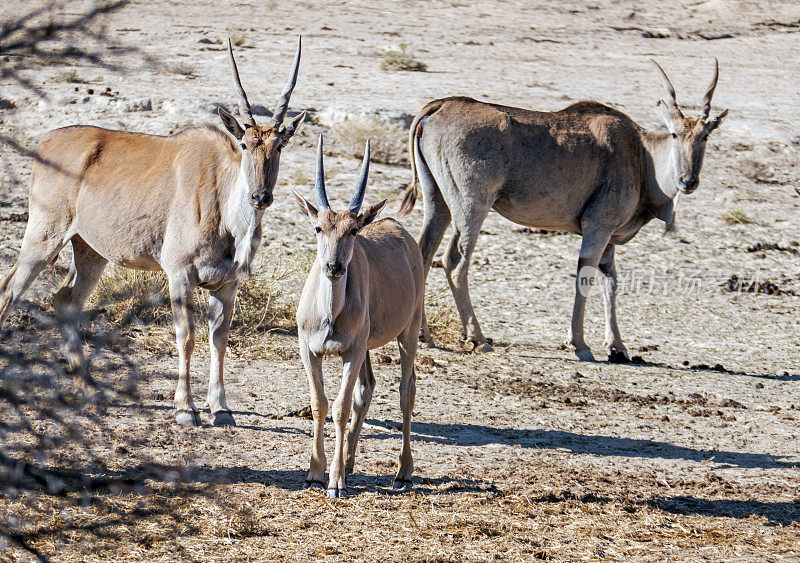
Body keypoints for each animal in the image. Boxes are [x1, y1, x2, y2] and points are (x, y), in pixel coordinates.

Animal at [0, 38, 306, 428]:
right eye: (245, 144)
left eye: (279, 145)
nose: (261, 197)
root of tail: (46, 141)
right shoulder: (180, 274)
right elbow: (186, 336)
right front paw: (185, 409)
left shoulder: (226, 284)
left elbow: (219, 340)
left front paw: (220, 409)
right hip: (43, 239)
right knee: (10, 291)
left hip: (90, 252)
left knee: (66, 300)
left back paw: (88, 387)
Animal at [294, 135, 424, 498]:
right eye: (319, 227)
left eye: (352, 231)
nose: (334, 267)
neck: (329, 314)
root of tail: (400, 230)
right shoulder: (310, 351)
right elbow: (321, 403)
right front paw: (315, 473)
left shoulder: (350, 352)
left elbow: (339, 408)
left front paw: (335, 481)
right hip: (367, 346)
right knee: (367, 389)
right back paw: (351, 463)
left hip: (408, 332)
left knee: (406, 391)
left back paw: (403, 472)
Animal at [396, 58, 728, 362]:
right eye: (674, 134)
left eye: (705, 136)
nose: (688, 181)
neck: (640, 155)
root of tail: (438, 107)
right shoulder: (598, 227)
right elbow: (586, 274)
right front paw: (580, 344)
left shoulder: (608, 236)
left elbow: (611, 281)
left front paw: (617, 347)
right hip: (471, 206)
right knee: (453, 262)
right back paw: (478, 339)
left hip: (438, 203)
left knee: (423, 255)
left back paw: (425, 336)